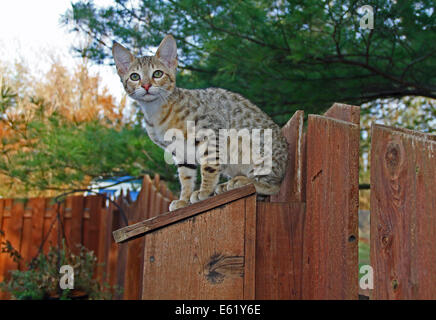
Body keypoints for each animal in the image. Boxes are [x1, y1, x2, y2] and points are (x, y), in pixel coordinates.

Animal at [114, 35, 288, 211]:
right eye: (135, 76)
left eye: (157, 73)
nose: (146, 85)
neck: (156, 112)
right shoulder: (180, 151)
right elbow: (186, 177)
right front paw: (184, 200)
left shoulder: (210, 131)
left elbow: (209, 165)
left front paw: (204, 191)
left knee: (274, 186)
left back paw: (241, 181)